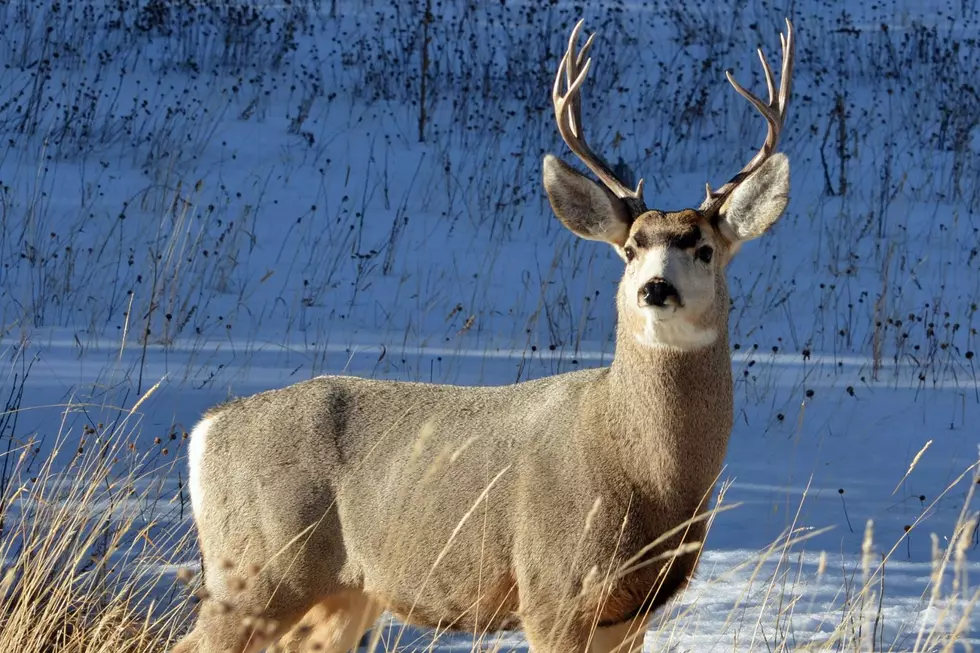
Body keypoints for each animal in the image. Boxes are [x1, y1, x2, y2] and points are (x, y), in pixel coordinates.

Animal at [171, 17, 794, 653]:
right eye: (629, 249)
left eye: (704, 250)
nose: (655, 289)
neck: (647, 478)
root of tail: (208, 429)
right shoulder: (550, 585)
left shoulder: (630, 613)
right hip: (257, 568)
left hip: (344, 593)